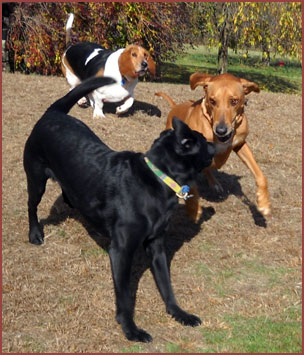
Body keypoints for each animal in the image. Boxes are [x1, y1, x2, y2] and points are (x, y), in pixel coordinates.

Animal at [23, 76, 214, 344]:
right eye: (203, 141)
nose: (216, 141)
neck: (157, 178)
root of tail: (54, 113)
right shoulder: (121, 251)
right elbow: (124, 295)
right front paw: (130, 329)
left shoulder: (157, 245)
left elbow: (166, 285)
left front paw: (179, 313)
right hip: (36, 178)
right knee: (32, 206)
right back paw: (35, 234)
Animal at [157, 72, 270, 222]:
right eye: (212, 101)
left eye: (234, 101)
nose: (221, 130)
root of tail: (175, 107)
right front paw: (193, 209)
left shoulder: (240, 144)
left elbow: (260, 175)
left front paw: (263, 204)